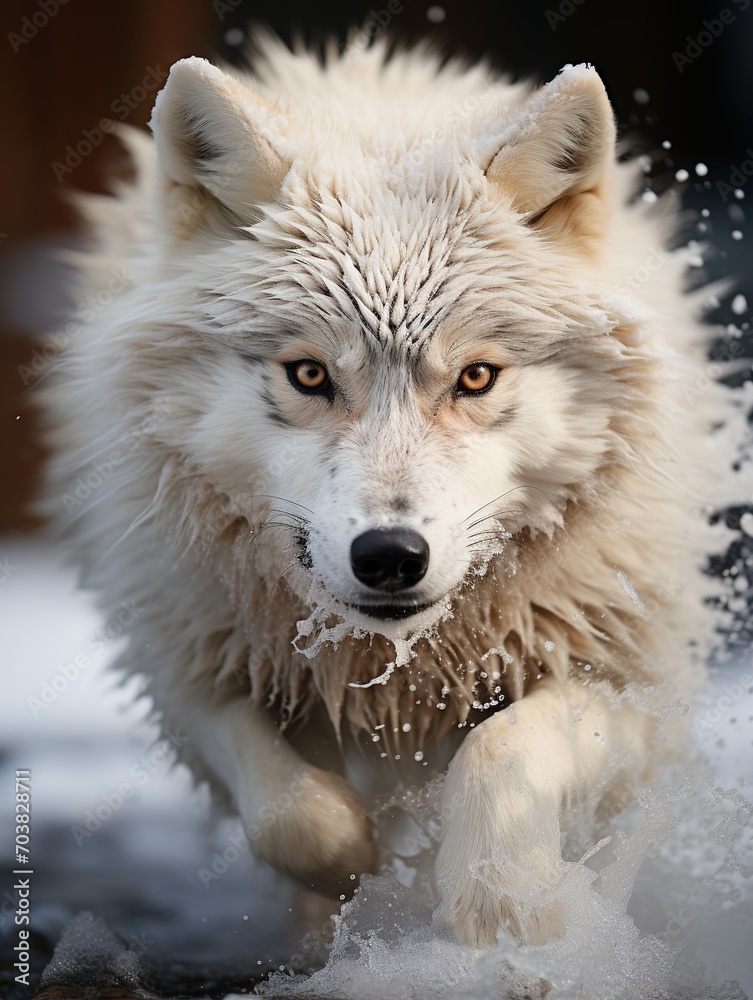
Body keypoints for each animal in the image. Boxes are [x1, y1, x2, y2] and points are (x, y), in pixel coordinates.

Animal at [44, 33, 727, 948]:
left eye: (475, 377)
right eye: (308, 374)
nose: (391, 557)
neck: (400, 666)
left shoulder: (628, 679)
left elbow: (505, 746)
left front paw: (501, 903)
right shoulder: (189, 665)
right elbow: (290, 815)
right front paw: (357, 875)